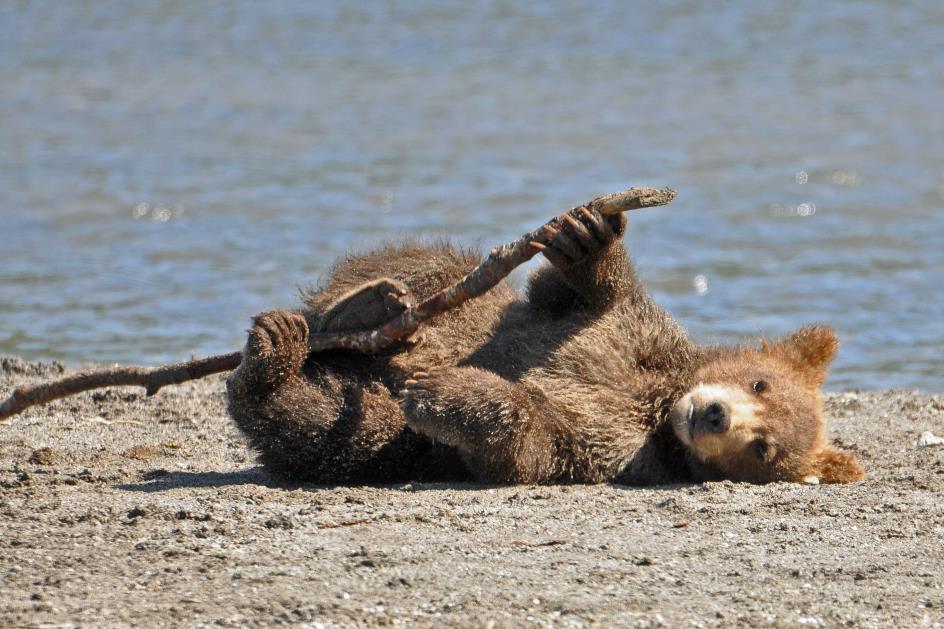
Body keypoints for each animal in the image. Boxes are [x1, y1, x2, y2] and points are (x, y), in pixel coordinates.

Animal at [225, 209, 860, 484]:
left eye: (762, 448)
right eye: (759, 381)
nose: (714, 414)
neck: (659, 401)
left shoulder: (619, 450)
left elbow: (533, 439)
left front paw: (445, 388)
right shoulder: (639, 337)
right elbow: (578, 298)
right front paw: (589, 239)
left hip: (380, 431)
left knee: (329, 426)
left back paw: (273, 362)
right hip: (445, 295)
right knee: (425, 267)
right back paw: (360, 307)